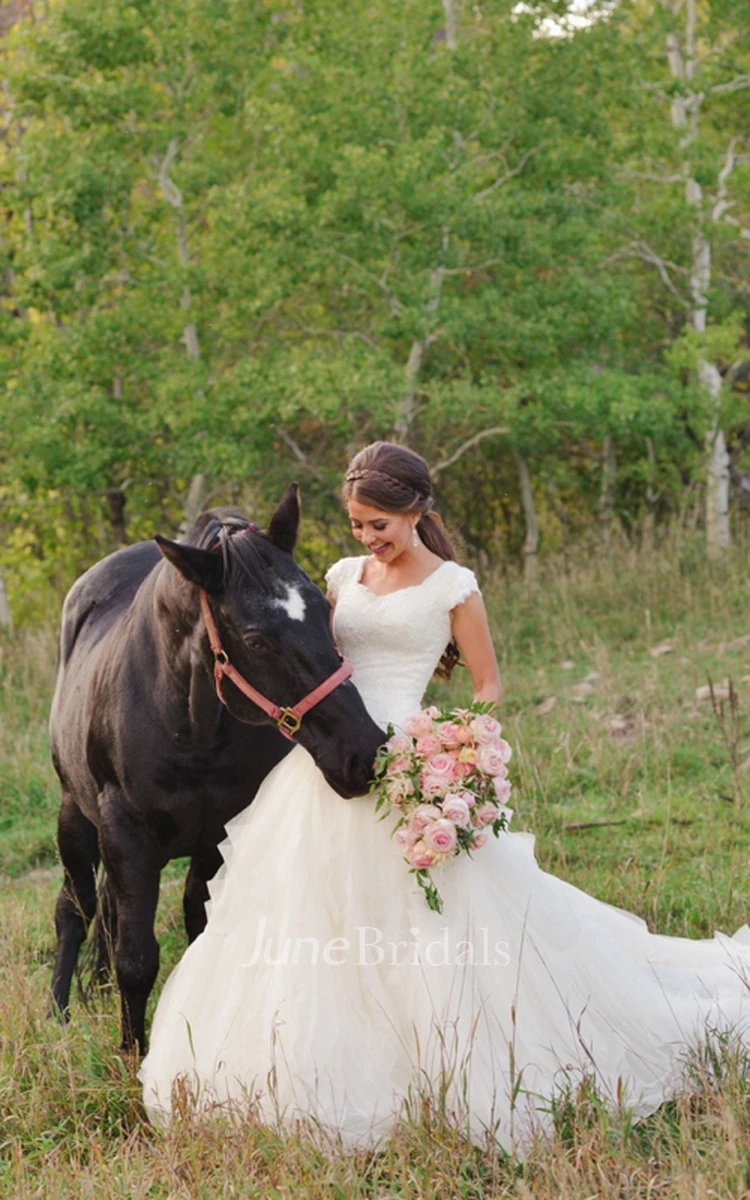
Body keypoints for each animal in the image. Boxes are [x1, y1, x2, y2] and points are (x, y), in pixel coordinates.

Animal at [49, 487, 384, 1051]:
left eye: (324, 608)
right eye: (255, 640)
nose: (363, 752)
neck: (192, 730)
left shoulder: (219, 836)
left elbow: (198, 932)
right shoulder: (127, 838)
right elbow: (135, 960)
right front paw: (131, 1054)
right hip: (75, 816)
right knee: (74, 910)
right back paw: (58, 1014)